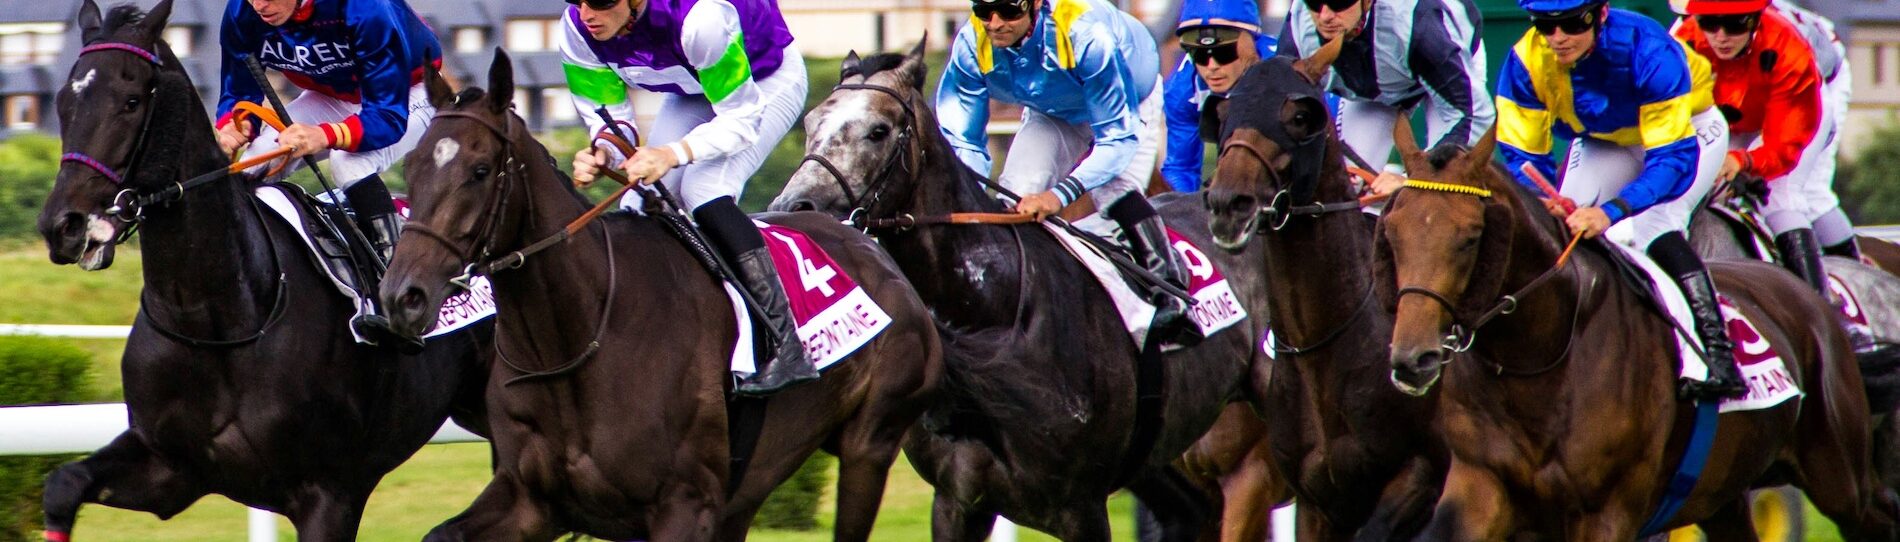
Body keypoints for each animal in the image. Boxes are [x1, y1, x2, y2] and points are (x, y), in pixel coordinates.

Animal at [34, 2, 494, 536]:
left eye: (130, 102)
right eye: (63, 101)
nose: (63, 226)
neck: (217, 318)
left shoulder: (331, 493)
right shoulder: (170, 466)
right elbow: (63, 483)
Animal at [374, 51, 938, 540]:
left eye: (480, 171)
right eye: (416, 166)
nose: (403, 296)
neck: (578, 338)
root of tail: (865, 239)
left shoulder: (686, 505)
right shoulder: (531, 500)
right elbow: (442, 533)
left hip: (870, 444)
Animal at [763, 43, 1269, 540]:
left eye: (878, 130)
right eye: (811, 123)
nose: (793, 206)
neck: (992, 321)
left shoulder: (1082, 506)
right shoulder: (956, 502)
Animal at [1375, 117, 1892, 536]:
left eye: (1470, 237)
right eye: (1392, 230)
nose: (1412, 358)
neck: (1541, 359)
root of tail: (1808, 293)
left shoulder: (1608, 511)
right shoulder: (1479, 489)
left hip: (1839, 475)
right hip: (1721, 493)